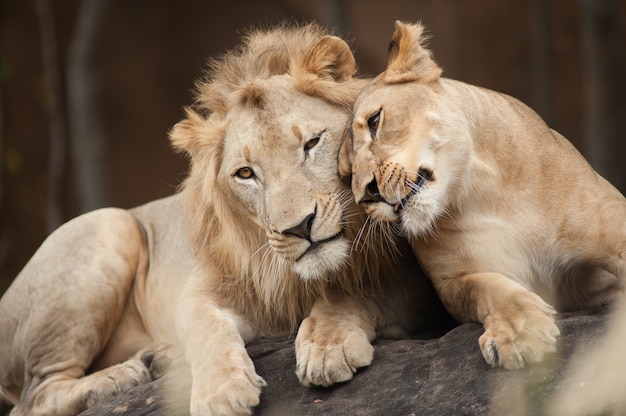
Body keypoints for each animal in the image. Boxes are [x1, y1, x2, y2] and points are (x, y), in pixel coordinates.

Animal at [1, 23, 438, 416]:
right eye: (245, 173)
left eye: (312, 143)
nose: (298, 227)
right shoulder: (207, 288)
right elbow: (204, 328)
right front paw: (220, 392)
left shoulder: (412, 283)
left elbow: (354, 293)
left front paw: (328, 346)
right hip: (110, 226)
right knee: (34, 398)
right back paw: (125, 375)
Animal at [342, 20, 624, 370]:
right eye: (345, 174)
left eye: (375, 121)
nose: (365, 195)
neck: (480, 190)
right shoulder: (456, 280)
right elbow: (489, 291)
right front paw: (519, 332)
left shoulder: (613, 230)